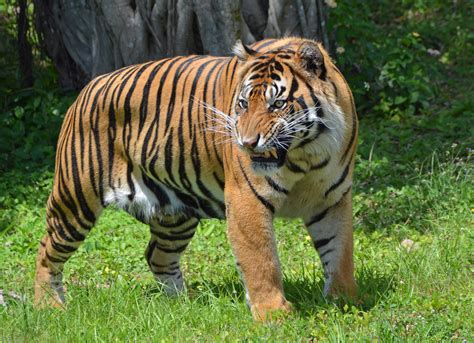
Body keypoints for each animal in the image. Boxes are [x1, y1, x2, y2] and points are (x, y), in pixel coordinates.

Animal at [33, 36, 358, 322]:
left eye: (277, 105)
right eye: (242, 104)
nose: (246, 143)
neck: (306, 155)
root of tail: (89, 86)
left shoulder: (332, 199)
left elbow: (339, 252)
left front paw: (344, 301)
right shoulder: (247, 199)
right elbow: (261, 260)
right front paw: (273, 316)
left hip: (175, 215)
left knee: (157, 256)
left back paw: (184, 305)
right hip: (75, 199)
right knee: (46, 251)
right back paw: (49, 306)